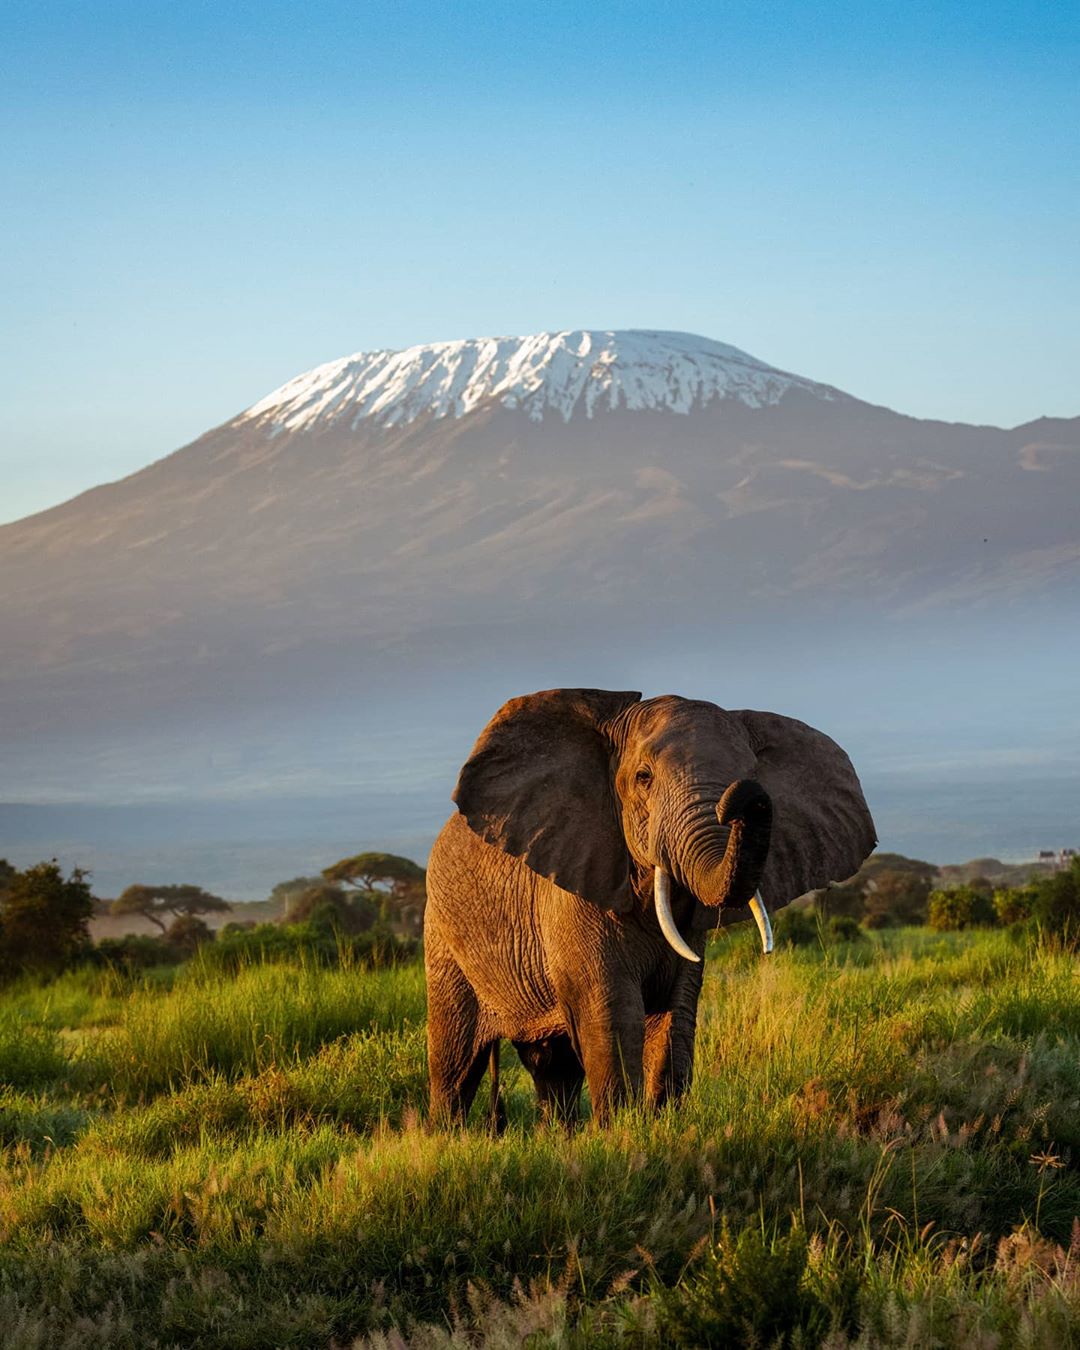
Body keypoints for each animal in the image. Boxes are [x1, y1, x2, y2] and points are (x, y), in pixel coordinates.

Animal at [423, 691, 874, 1123]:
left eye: (753, 769)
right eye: (644, 778)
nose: (742, 796)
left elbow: (676, 1014)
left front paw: (659, 1125)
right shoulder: (574, 890)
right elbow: (611, 1014)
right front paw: (620, 1132)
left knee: (553, 1066)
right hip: (442, 940)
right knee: (456, 1063)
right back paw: (447, 1136)